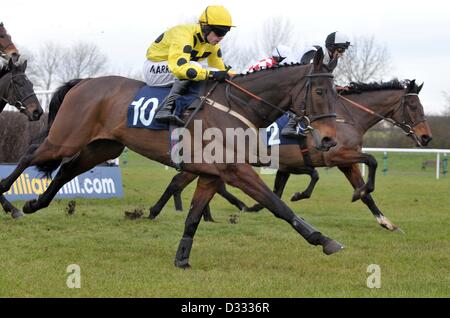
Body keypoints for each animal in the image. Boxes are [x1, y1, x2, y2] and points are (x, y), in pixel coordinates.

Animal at [0, 49, 348, 268]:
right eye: (319, 92)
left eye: (336, 92)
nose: (329, 139)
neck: (238, 105)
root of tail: (83, 81)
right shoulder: (236, 170)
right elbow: (279, 206)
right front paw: (323, 239)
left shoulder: (212, 174)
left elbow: (193, 217)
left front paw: (182, 258)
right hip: (66, 138)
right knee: (30, 154)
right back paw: (10, 200)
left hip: (103, 147)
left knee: (67, 170)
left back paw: (34, 204)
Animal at [152, 77, 432, 231]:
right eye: (413, 106)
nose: (426, 137)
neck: (346, 117)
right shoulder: (336, 157)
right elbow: (371, 162)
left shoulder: (333, 162)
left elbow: (365, 192)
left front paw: (385, 221)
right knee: (179, 182)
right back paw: (155, 211)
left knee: (201, 183)